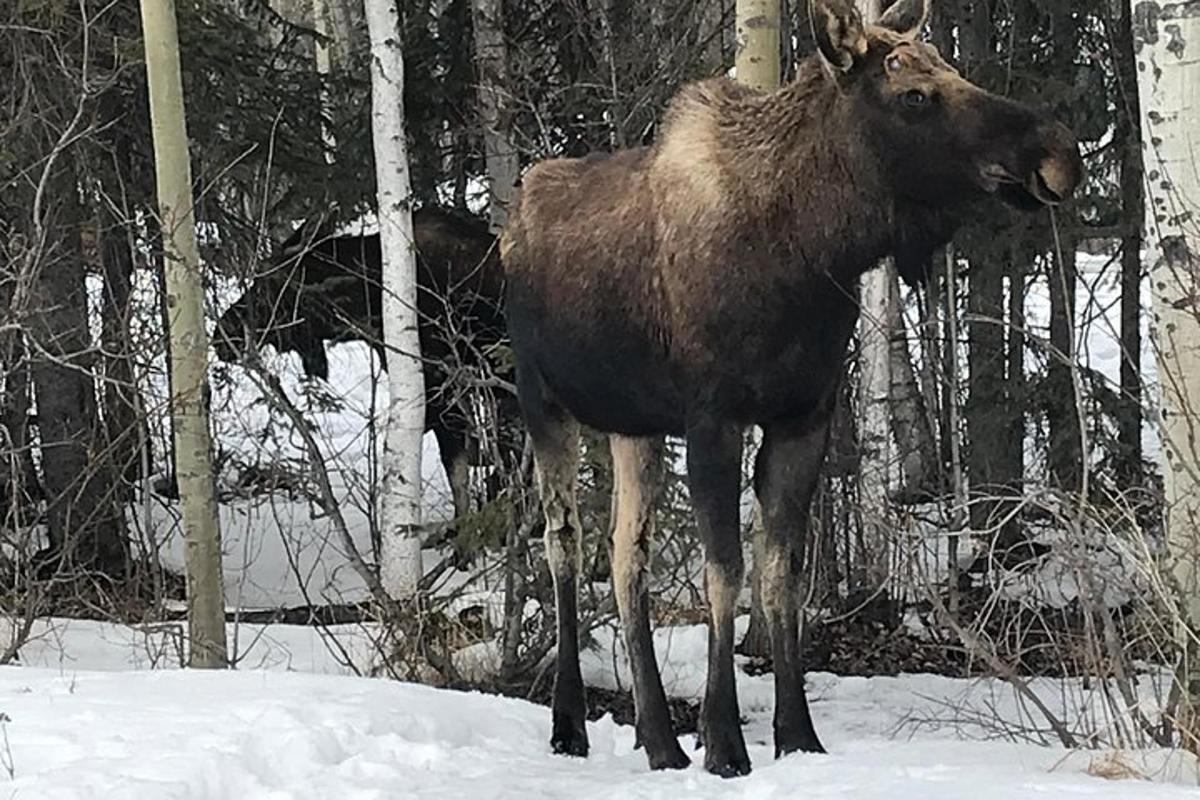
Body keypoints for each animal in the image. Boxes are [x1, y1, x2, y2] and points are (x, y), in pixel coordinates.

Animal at [501, 0, 1084, 777]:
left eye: (952, 70)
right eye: (914, 95)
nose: (1059, 151)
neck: (814, 251)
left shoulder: (804, 415)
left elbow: (783, 574)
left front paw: (796, 734)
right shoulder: (713, 418)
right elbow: (725, 571)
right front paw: (724, 740)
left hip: (635, 426)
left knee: (628, 555)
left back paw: (658, 738)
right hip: (544, 402)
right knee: (563, 542)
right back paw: (570, 723)